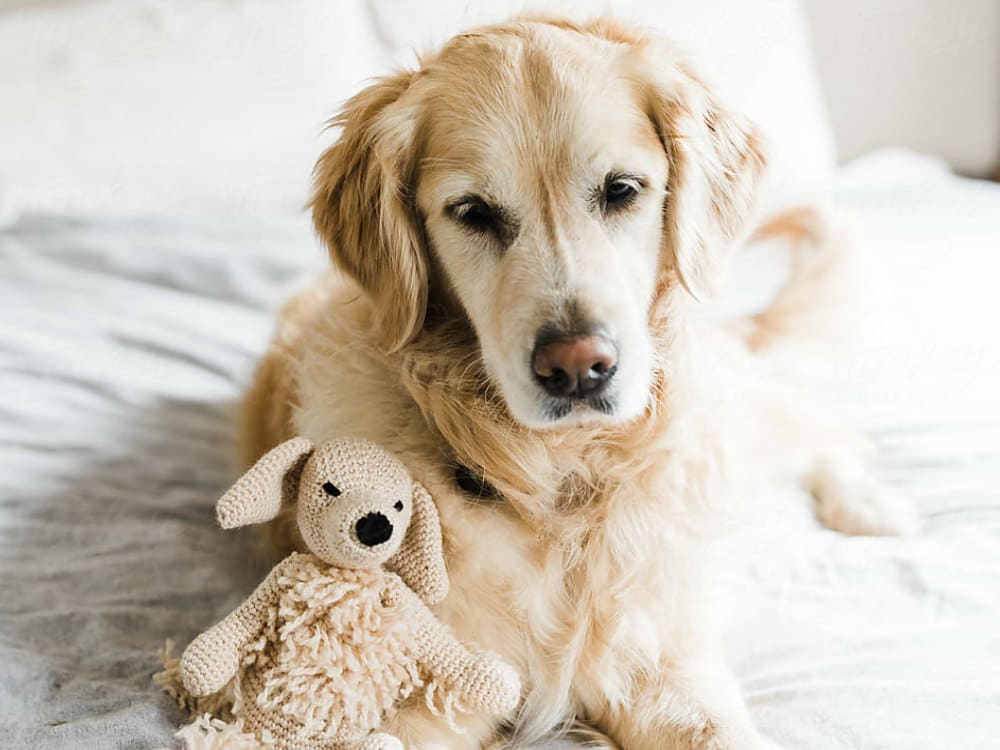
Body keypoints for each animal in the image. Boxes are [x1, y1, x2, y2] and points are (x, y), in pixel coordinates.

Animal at [238, 13, 916, 750]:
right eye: (472, 212)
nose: (578, 366)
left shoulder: (665, 667)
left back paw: (870, 503)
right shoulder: (431, 696)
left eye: (621, 190)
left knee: (824, 431)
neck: (560, 484)